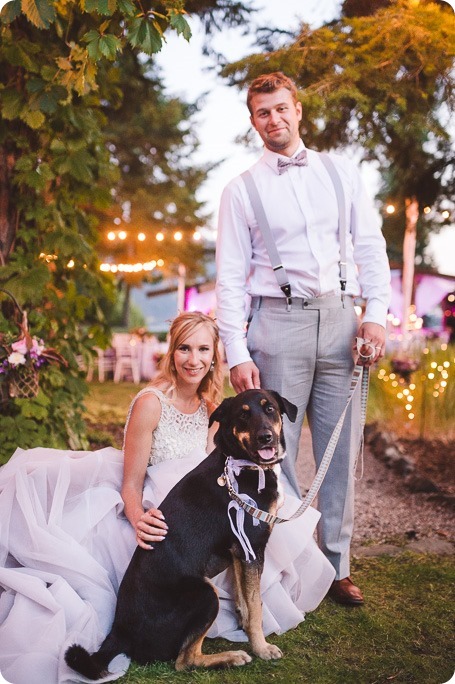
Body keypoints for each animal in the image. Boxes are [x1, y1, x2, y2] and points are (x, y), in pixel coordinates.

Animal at [65, 388, 300, 676]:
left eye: (270, 409)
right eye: (243, 414)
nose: (265, 437)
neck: (242, 464)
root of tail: (119, 633)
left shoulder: (239, 551)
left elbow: (246, 601)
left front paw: (247, 630)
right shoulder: (252, 547)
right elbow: (256, 606)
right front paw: (262, 647)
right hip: (205, 594)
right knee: (184, 661)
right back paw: (231, 657)